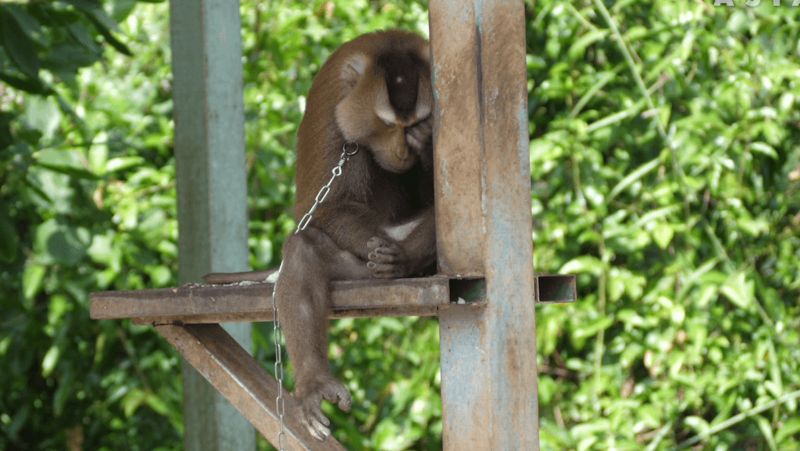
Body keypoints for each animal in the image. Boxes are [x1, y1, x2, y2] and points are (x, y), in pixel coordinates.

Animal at [203, 29, 434, 442]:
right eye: (389, 125)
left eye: (414, 124)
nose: (403, 150)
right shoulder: (332, 108)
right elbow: (326, 209)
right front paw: (387, 250)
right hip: (354, 269)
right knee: (304, 249)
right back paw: (314, 384)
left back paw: (406, 261)